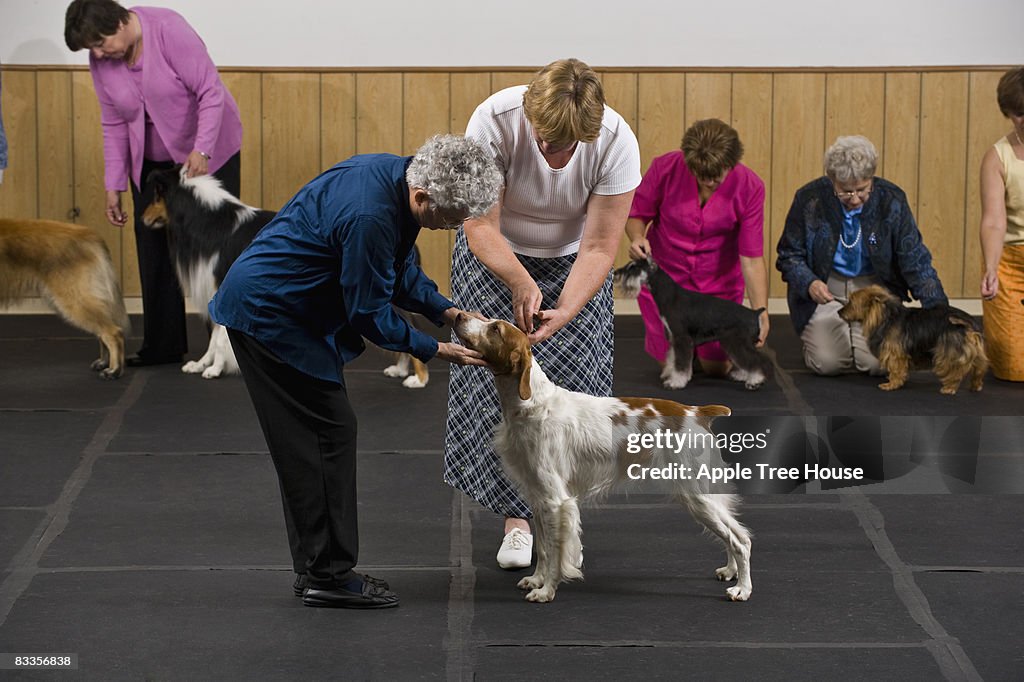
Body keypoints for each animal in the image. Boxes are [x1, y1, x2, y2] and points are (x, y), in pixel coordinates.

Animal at [0, 218, 130, 376]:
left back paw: (114, 370)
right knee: (104, 331)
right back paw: (104, 362)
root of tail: (90, 234)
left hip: (75, 300)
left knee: (114, 332)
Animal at [456, 311, 753, 602]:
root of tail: (698, 412)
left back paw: (742, 589)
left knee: (740, 539)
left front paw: (546, 591)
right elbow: (543, 547)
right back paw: (730, 572)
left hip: (696, 493)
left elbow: (555, 550)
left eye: (495, 329)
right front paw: (536, 580)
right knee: (736, 533)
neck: (531, 403)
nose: (458, 315)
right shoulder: (539, 497)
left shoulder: (556, 501)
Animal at [614, 258, 770, 391]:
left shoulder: (681, 338)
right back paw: (742, 375)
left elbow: (680, 363)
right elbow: (674, 358)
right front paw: (672, 374)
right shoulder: (674, 337)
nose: (616, 273)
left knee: (754, 360)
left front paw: (675, 382)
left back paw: (755, 381)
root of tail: (754, 313)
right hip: (732, 343)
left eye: (634, 268)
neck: (669, 295)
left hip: (738, 342)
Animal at [839, 284, 983, 393]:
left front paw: (891, 384)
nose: (839, 312)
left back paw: (950, 388)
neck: (886, 318)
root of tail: (967, 321)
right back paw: (975, 385)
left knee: (955, 370)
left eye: (851, 302)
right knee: (978, 369)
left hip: (949, 351)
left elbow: (896, 369)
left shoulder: (894, 353)